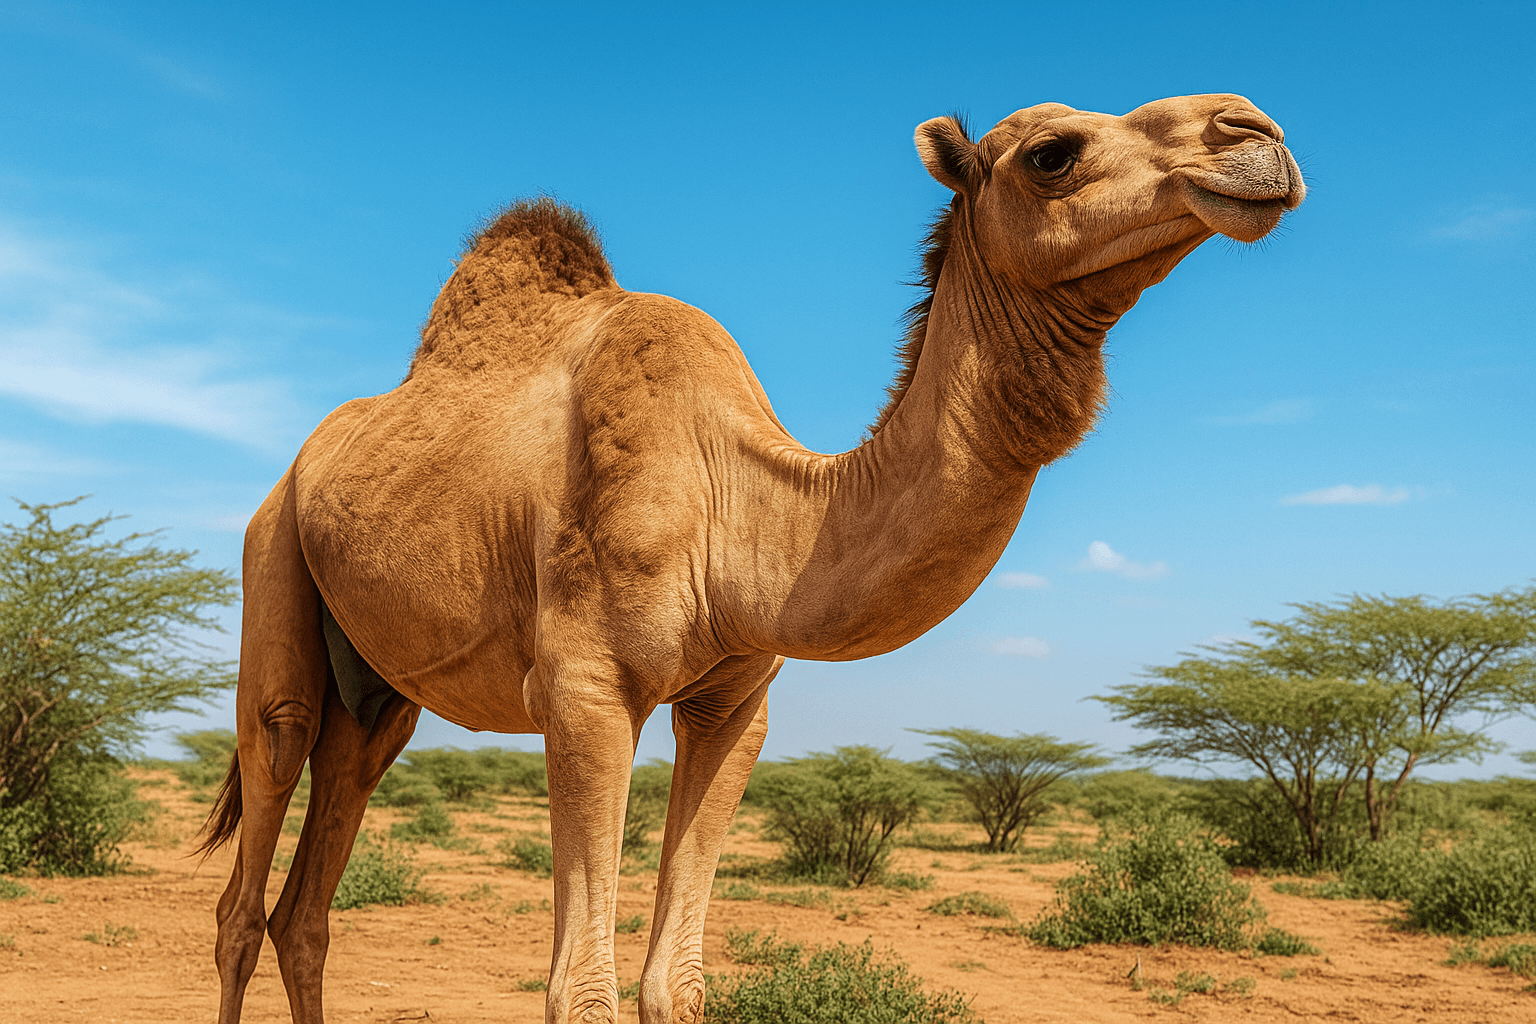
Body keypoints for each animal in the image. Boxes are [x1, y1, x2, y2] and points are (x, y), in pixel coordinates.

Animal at [199, 93, 1304, 1024]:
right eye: (1052, 153)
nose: (1255, 131)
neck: (742, 511)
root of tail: (294, 469)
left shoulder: (735, 701)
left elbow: (674, 982)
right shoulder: (585, 690)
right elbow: (582, 987)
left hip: (379, 697)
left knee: (313, 889)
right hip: (274, 567)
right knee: (248, 873)